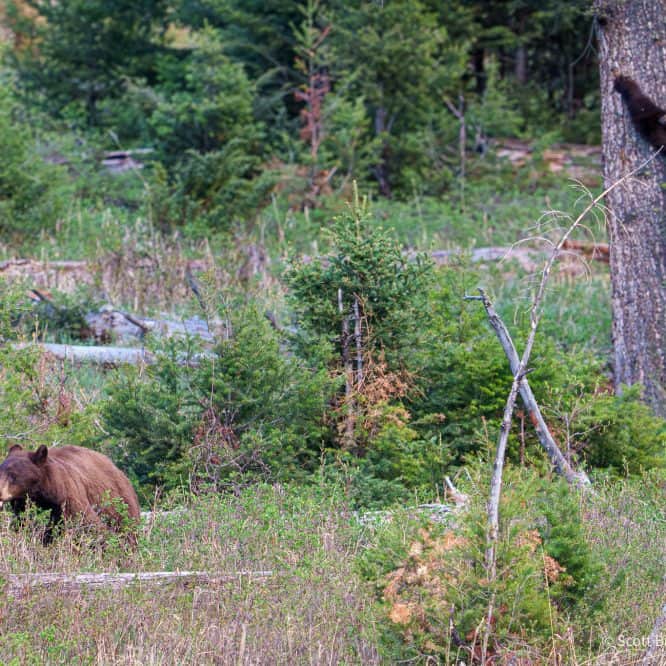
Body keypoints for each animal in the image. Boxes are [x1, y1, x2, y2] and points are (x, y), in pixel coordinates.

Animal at [0, 444, 140, 544]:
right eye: (0, 471)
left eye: (13, 475)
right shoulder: (22, 507)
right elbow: (22, 525)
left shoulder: (68, 498)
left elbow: (89, 525)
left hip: (122, 506)